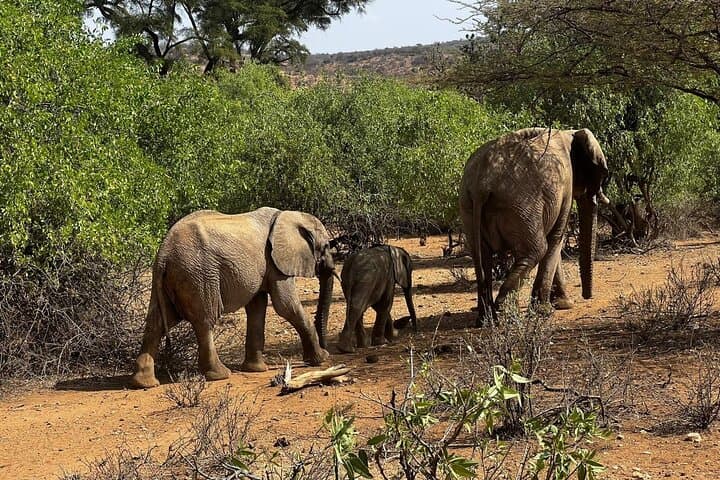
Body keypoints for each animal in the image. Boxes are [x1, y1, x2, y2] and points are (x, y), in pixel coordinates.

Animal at [130, 207, 336, 389]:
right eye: (326, 246)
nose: (328, 347)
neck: (288, 215)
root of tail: (163, 254)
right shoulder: (276, 263)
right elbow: (286, 306)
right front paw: (322, 358)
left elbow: (257, 308)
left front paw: (256, 370)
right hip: (199, 275)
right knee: (205, 321)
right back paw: (220, 375)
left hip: (171, 279)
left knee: (156, 323)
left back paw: (144, 383)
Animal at [459, 127, 609, 325]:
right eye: (601, 175)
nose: (587, 296)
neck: (570, 133)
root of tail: (481, 185)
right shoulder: (565, 187)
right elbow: (555, 238)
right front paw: (546, 311)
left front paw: (561, 305)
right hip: (521, 205)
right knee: (536, 250)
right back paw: (504, 311)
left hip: (469, 206)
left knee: (483, 257)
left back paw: (486, 319)